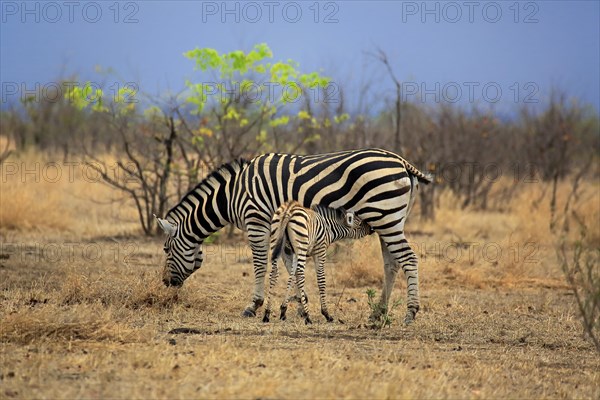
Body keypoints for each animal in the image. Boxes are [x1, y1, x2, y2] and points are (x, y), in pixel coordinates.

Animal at [152, 148, 428, 324]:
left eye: (166, 249)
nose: (165, 282)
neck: (232, 195)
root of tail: (402, 162)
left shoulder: (257, 220)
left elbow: (261, 264)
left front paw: (255, 305)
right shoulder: (285, 228)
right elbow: (290, 264)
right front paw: (298, 303)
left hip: (385, 217)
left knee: (409, 260)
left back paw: (411, 313)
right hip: (389, 220)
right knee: (392, 264)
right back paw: (377, 313)